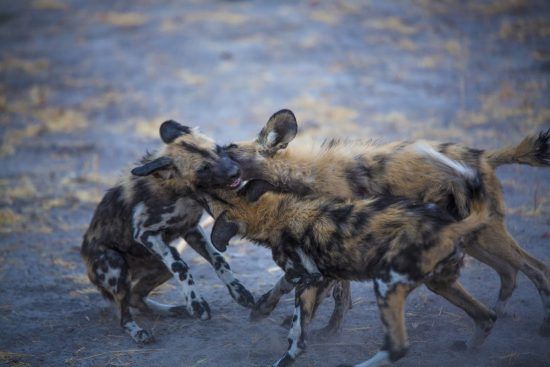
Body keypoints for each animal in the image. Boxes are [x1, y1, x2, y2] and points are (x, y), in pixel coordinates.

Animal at [81, 119, 254, 344]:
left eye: (218, 149)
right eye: (203, 168)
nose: (236, 171)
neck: (184, 194)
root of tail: (84, 256)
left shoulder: (191, 230)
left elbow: (218, 259)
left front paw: (239, 291)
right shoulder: (145, 233)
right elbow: (181, 267)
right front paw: (196, 304)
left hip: (159, 266)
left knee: (136, 297)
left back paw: (173, 310)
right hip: (116, 267)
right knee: (124, 314)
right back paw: (138, 332)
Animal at [198, 178, 496, 366]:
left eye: (211, 198)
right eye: (218, 189)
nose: (200, 185)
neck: (278, 215)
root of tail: (452, 226)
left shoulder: (308, 277)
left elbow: (296, 337)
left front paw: (284, 356)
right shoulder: (321, 275)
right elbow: (283, 288)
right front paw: (261, 309)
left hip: (386, 283)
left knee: (397, 348)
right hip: (441, 283)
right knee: (487, 316)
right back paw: (470, 349)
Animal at [223, 109, 550, 336]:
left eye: (228, 150)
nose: (213, 161)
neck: (304, 173)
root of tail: (484, 156)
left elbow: (326, 290)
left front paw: (321, 328)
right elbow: (334, 291)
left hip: (484, 235)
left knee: (536, 268)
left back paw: (540, 322)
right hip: (469, 237)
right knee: (510, 271)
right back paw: (498, 312)